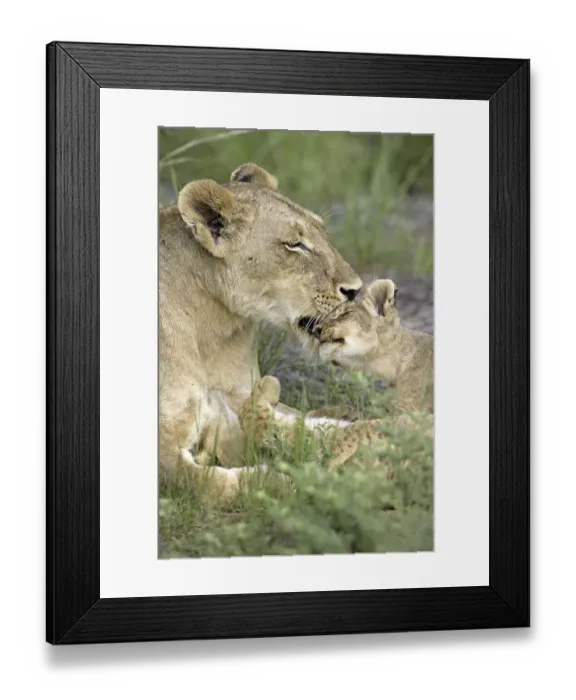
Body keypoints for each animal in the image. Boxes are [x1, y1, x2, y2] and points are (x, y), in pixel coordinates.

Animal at [159, 162, 362, 501]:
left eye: (323, 233)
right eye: (294, 244)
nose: (356, 290)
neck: (212, 330)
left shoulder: (246, 398)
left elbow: (314, 429)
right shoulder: (164, 447)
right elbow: (214, 484)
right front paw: (284, 481)